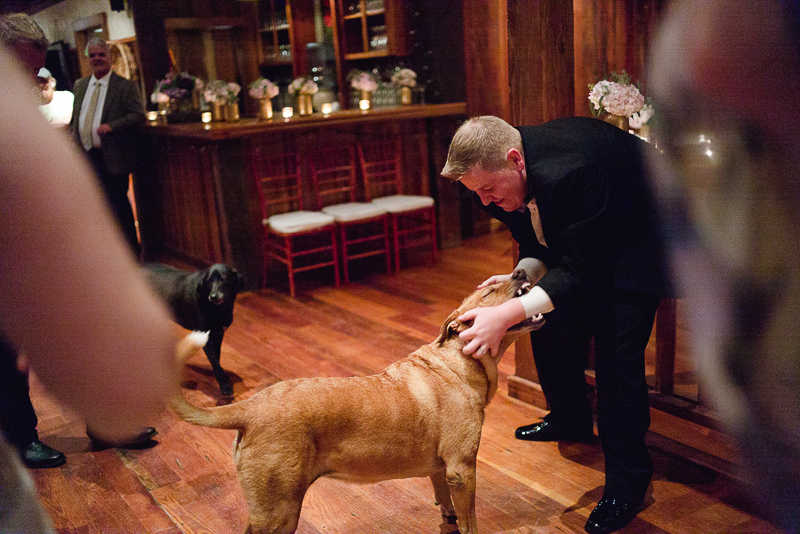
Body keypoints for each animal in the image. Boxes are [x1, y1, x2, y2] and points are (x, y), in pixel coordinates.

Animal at [142, 264, 244, 398]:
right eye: (209, 281)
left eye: (223, 279)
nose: (213, 297)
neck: (219, 308)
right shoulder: (204, 338)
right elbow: (214, 361)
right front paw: (225, 385)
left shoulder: (218, 336)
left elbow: (216, 359)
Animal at [173, 270, 548, 532]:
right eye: (490, 291)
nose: (520, 270)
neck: (457, 358)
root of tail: (249, 408)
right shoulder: (462, 468)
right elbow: (470, 519)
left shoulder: (442, 471)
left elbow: (447, 506)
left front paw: (448, 519)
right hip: (279, 510)